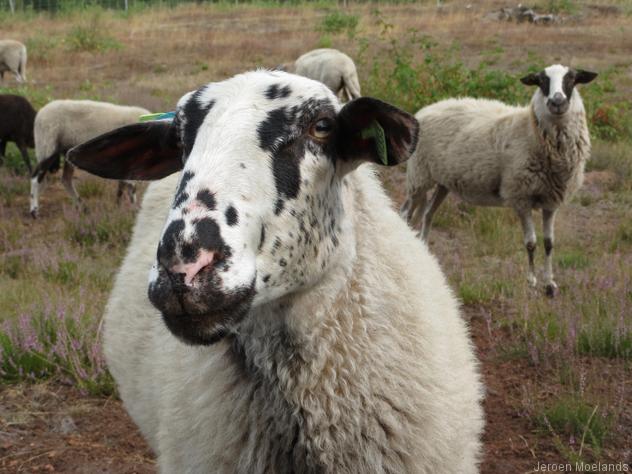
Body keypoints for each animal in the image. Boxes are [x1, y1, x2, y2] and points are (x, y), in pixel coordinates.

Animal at [400, 65, 596, 298]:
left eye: (572, 79)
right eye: (541, 81)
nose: (557, 102)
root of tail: (425, 109)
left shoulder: (551, 200)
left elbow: (549, 243)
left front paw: (550, 284)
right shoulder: (520, 196)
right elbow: (531, 243)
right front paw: (531, 282)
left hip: (442, 183)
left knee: (428, 214)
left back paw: (426, 254)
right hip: (419, 176)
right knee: (405, 214)